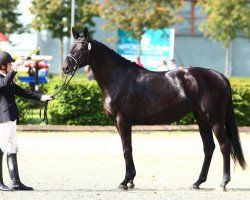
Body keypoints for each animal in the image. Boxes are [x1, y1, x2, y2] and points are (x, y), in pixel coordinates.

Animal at [62, 27, 246, 190]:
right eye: (71, 47)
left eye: (82, 48)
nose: (65, 68)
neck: (118, 78)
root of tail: (221, 76)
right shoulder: (118, 122)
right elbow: (128, 149)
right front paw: (131, 181)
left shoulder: (123, 120)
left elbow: (126, 149)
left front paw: (125, 181)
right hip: (201, 118)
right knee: (209, 147)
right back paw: (197, 182)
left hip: (214, 118)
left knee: (225, 146)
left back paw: (223, 183)